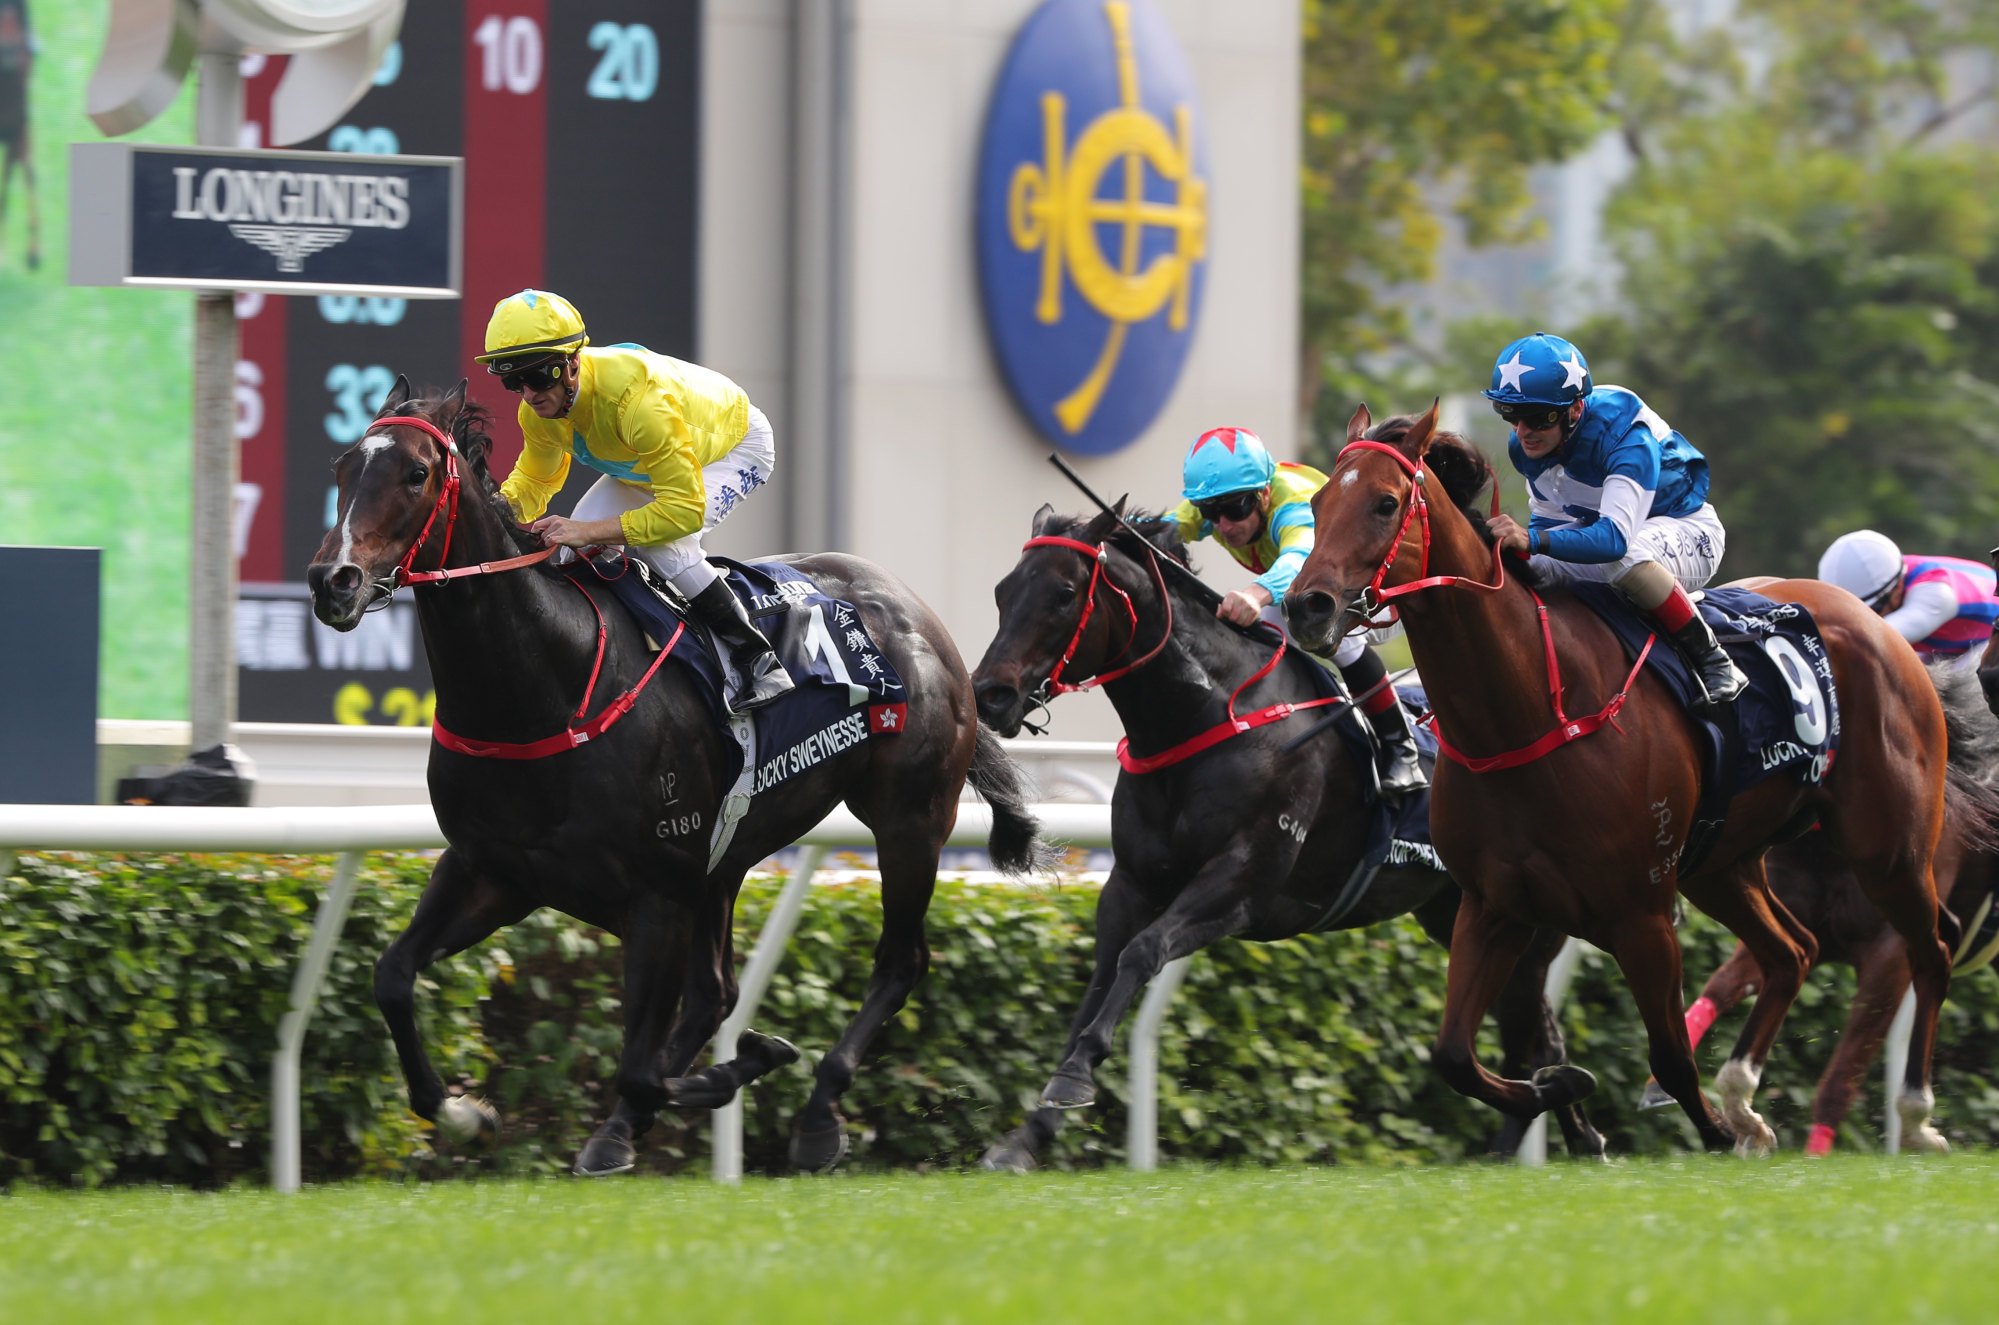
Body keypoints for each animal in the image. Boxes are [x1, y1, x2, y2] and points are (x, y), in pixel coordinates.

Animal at [967, 503, 1607, 1167]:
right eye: (1003, 591)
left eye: (1065, 593)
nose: (990, 694)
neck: (1205, 714)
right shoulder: (1132, 882)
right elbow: (1100, 979)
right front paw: (1026, 1137)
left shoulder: (1244, 879)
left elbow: (1142, 952)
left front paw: (1071, 1081)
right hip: (1454, 911)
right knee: (1535, 1034)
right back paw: (1564, 1128)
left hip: (1524, 920)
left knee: (1534, 1032)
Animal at [1279, 409, 1951, 1159]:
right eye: (1315, 503)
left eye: (1385, 503)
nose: (1306, 606)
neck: (1524, 716)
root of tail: (1878, 627)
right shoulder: (1491, 905)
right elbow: (1453, 1054)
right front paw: (1563, 1090)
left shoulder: (1641, 915)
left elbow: (1669, 1055)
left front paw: (1707, 1133)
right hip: (1721, 864)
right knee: (1791, 950)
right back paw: (1746, 1100)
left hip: (1887, 848)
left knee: (1932, 949)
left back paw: (1915, 1116)